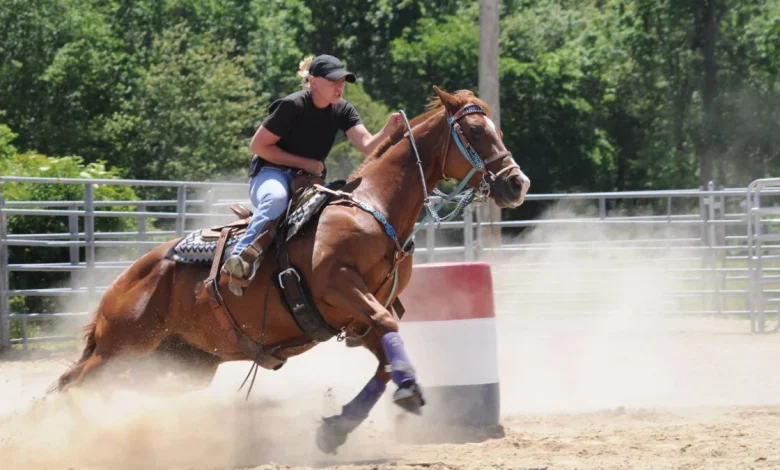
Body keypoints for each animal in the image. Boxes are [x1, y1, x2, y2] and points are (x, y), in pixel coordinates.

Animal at [51, 86, 530, 454]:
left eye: (498, 130)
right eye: (474, 131)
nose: (517, 183)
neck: (374, 208)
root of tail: (126, 279)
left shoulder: (361, 316)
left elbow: (384, 360)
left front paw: (336, 429)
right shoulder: (339, 286)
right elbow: (388, 328)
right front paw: (408, 390)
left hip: (175, 363)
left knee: (79, 385)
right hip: (123, 347)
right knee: (73, 387)